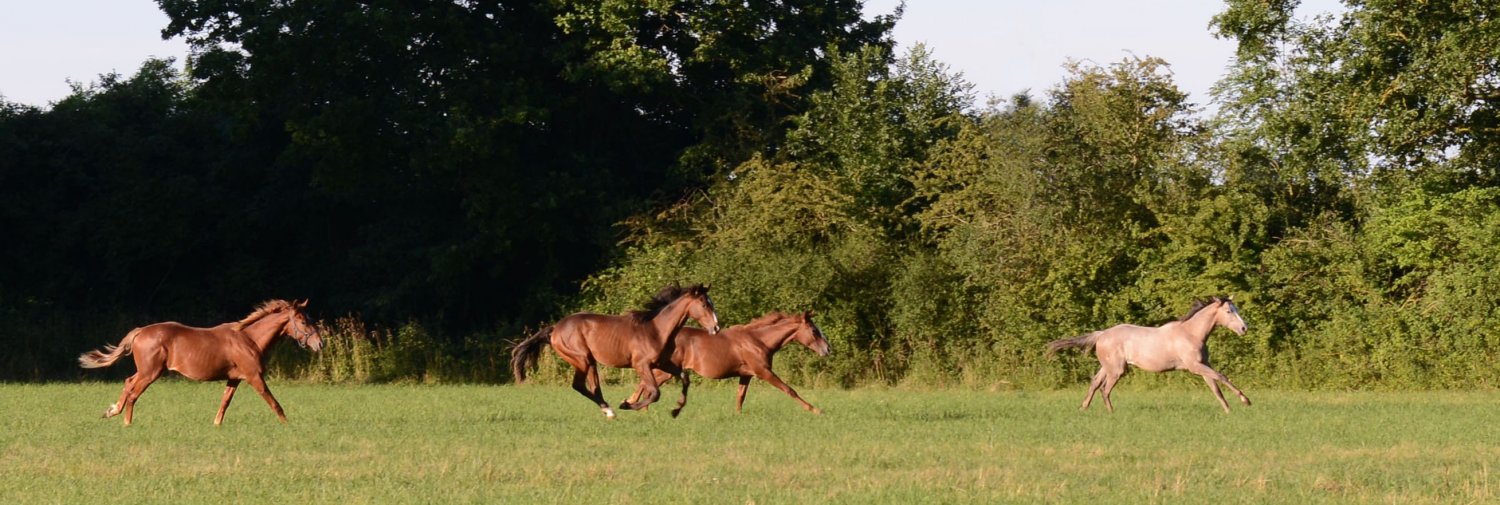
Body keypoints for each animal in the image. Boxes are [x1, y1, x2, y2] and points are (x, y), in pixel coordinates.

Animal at [78, 299, 323, 426]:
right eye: (302, 321)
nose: (319, 344)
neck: (249, 339)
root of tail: (140, 331)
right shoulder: (255, 377)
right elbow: (274, 402)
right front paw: (287, 424)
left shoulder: (234, 379)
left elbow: (224, 403)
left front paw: (216, 425)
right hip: (151, 373)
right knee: (133, 393)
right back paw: (127, 423)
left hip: (147, 371)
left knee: (128, 383)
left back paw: (111, 411)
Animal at [510, 284, 721, 419]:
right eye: (704, 304)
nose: (716, 328)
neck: (656, 330)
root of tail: (555, 329)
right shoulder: (642, 365)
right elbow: (655, 392)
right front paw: (626, 404)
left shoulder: (663, 363)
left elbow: (684, 378)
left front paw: (676, 411)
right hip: (581, 359)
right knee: (579, 385)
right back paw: (611, 410)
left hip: (590, 362)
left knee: (593, 387)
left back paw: (608, 411)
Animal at [625, 310, 830, 417]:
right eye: (814, 330)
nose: (827, 349)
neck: (759, 340)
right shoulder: (763, 371)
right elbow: (789, 389)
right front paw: (815, 409)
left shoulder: (746, 375)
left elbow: (740, 396)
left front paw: (737, 415)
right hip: (667, 371)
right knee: (645, 384)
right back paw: (636, 406)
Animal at [1046, 296, 1251, 413]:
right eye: (1228, 311)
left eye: (1237, 309)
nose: (1244, 328)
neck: (1192, 333)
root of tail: (1101, 334)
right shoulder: (1194, 366)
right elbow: (1222, 376)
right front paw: (1246, 400)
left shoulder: (1203, 366)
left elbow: (1216, 388)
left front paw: (1228, 410)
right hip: (1117, 370)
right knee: (1105, 389)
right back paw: (1111, 413)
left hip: (1108, 367)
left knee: (1095, 383)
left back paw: (1083, 408)